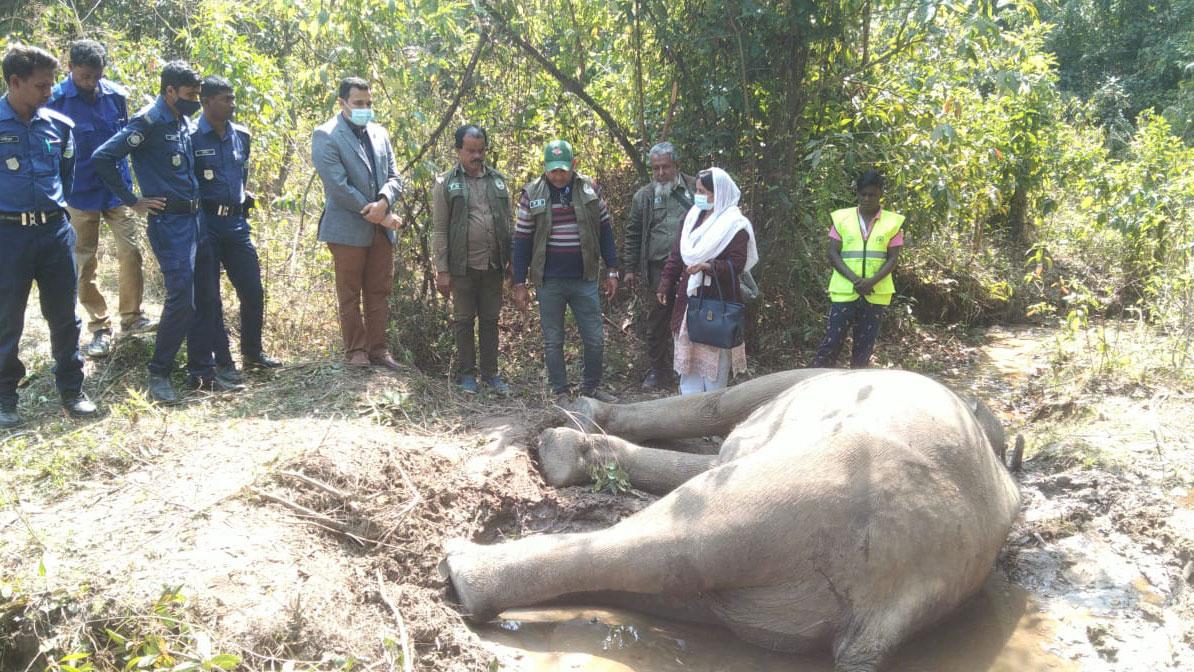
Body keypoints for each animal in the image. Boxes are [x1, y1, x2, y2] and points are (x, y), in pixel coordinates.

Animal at [444, 367, 1022, 672]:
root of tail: (891, 610)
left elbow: (724, 403)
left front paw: (583, 413)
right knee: (672, 575)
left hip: (807, 494)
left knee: (674, 538)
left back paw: (463, 565)